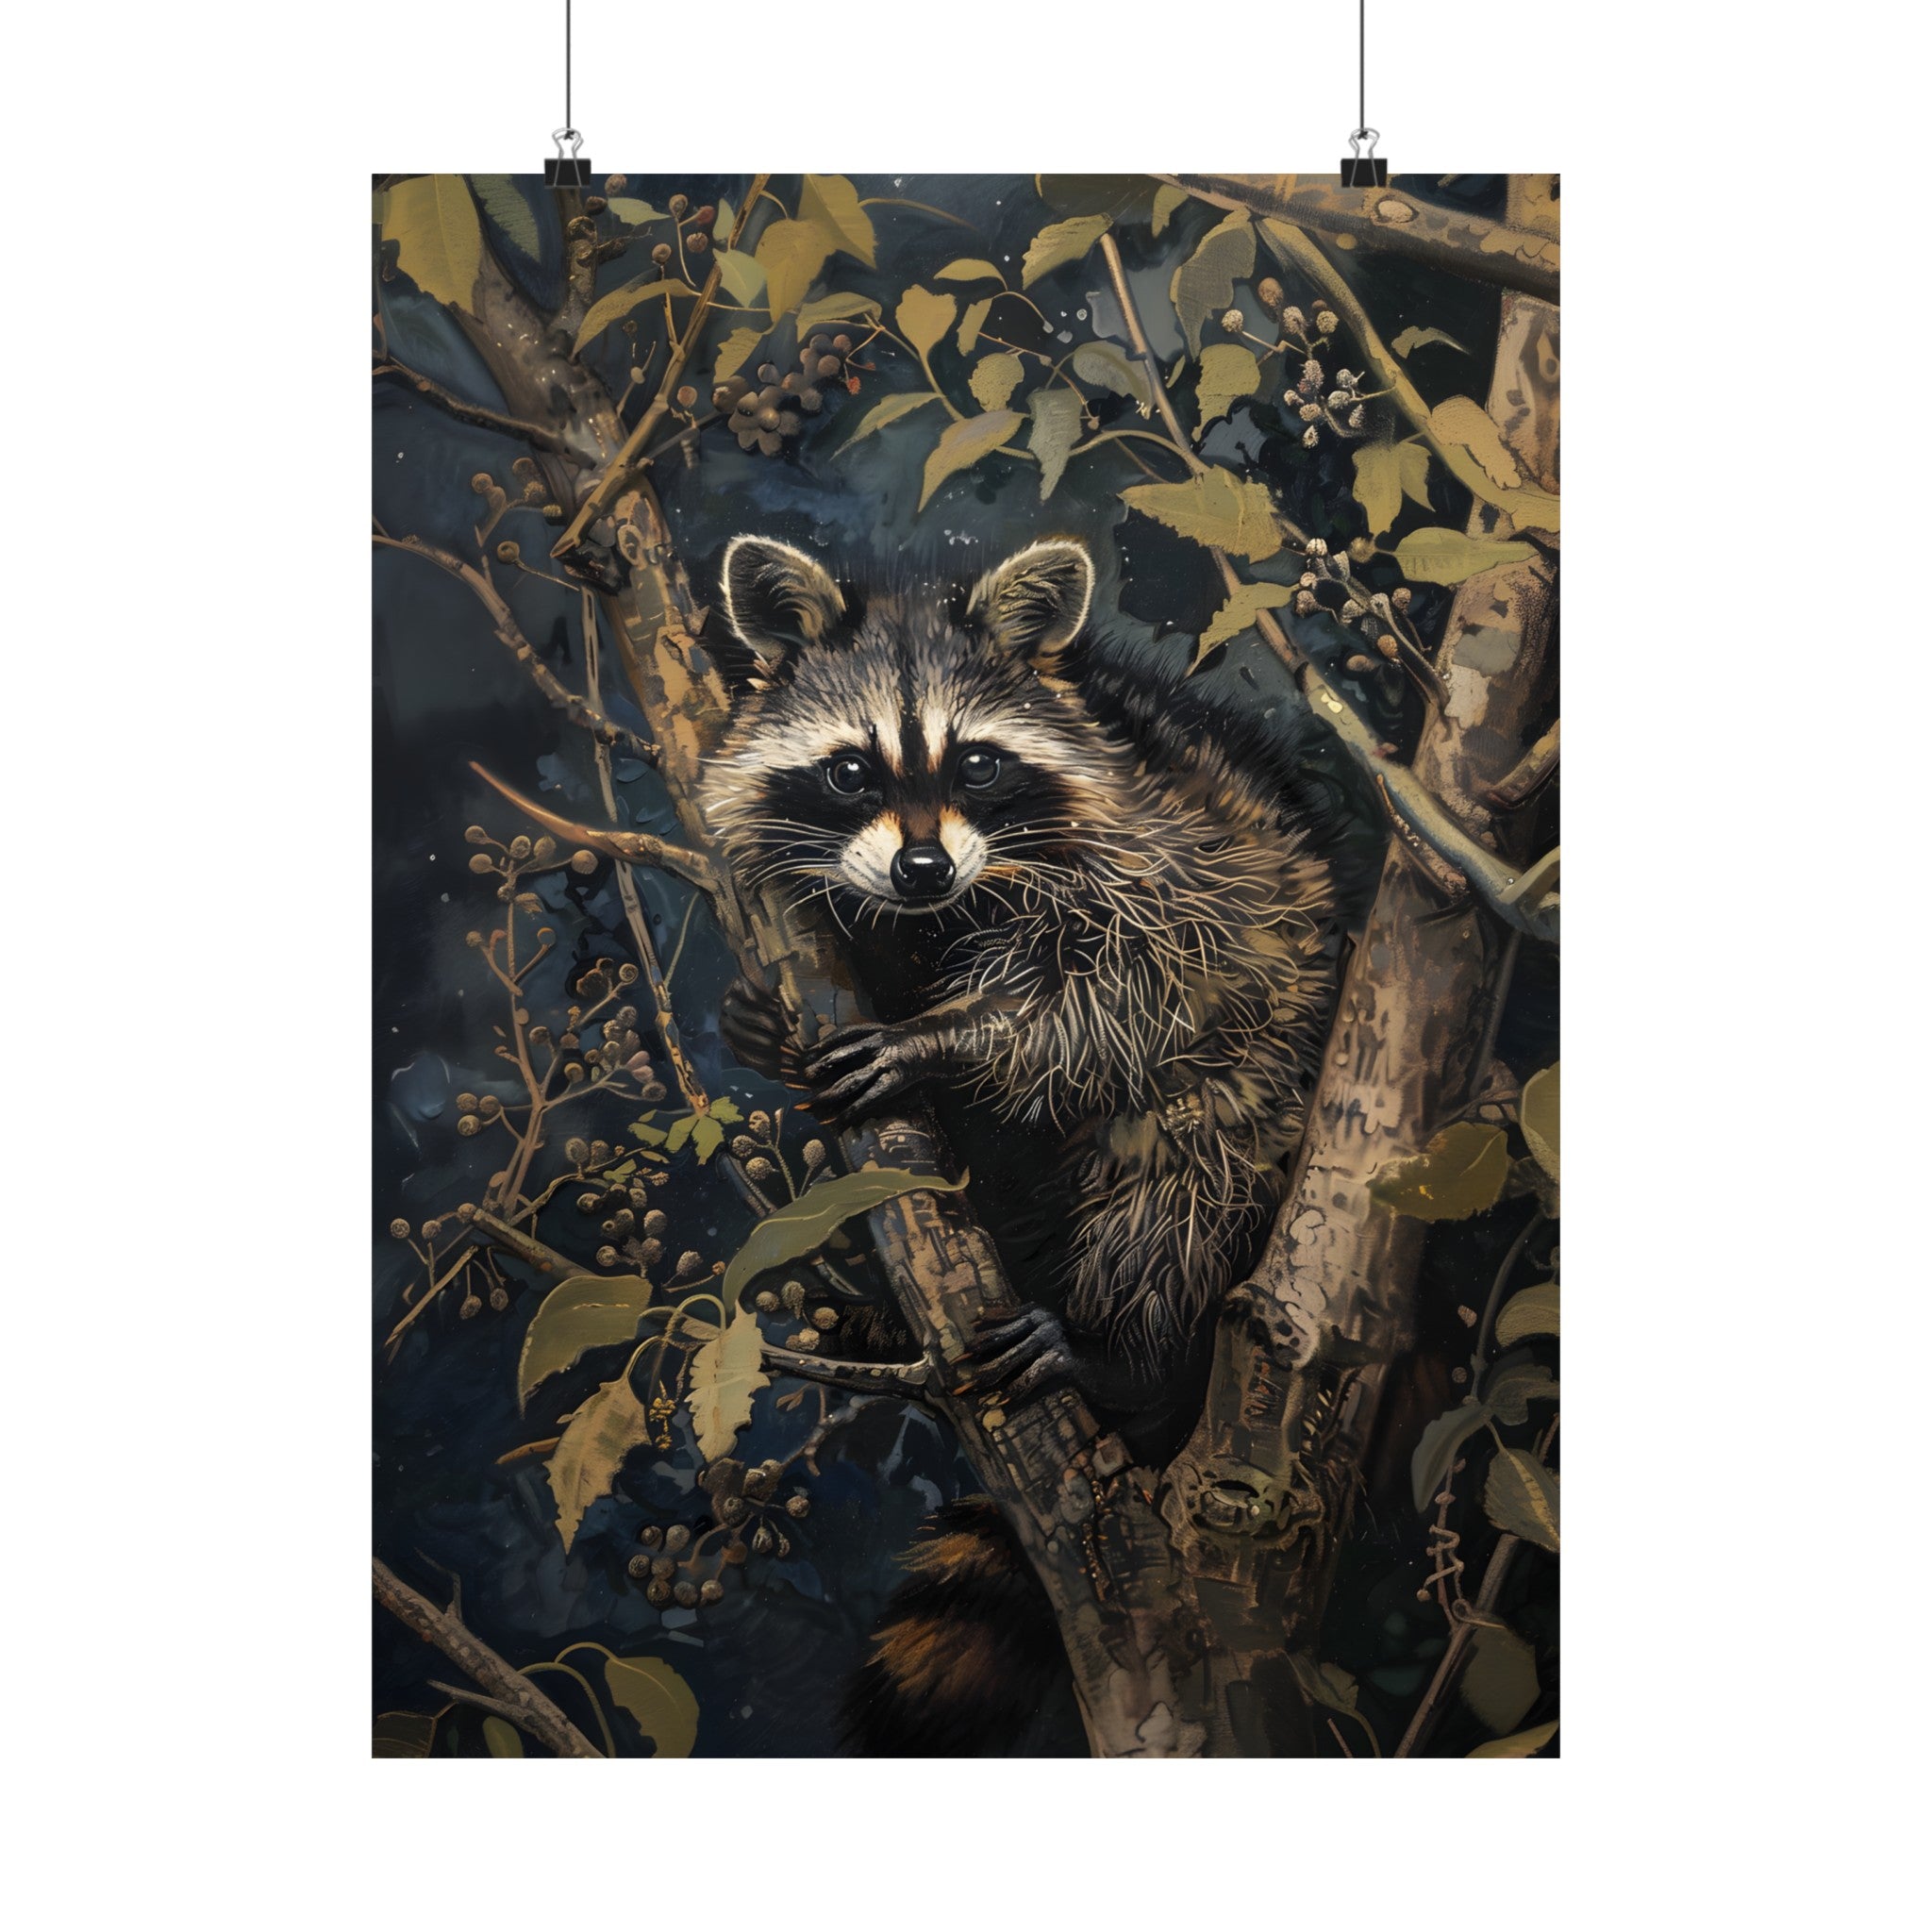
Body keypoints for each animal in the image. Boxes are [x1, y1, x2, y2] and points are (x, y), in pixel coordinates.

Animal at [700, 533, 1338, 1753]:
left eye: (978, 763)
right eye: (849, 770)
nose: (920, 869)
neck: (950, 908)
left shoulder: (1170, 870)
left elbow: (1111, 1004)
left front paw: (945, 1038)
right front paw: (766, 1026)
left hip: (1260, 1096)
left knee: (1176, 1187)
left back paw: (1117, 1346)